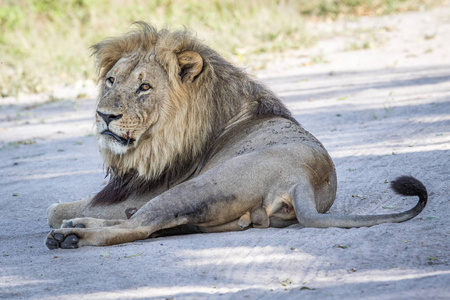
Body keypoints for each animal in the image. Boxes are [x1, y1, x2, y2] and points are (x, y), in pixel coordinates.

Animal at [46, 23, 428, 250]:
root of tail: (303, 180)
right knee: (148, 223)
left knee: (137, 226)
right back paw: (77, 225)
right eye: (111, 81)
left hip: (192, 188)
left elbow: (53, 207)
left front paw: (67, 217)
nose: (105, 116)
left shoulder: (146, 188)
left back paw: (71, 234)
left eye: (144, 88)